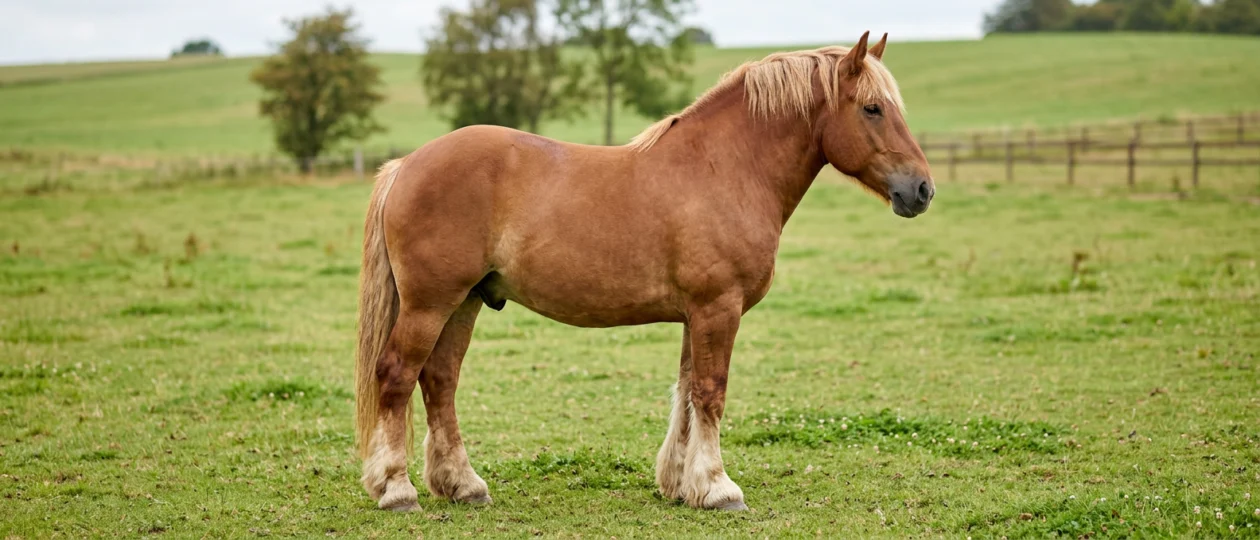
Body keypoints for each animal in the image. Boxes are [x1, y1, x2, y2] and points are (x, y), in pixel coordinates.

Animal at [354, 31, 934, 512]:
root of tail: (406, 165)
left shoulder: (696, 315)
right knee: (397, 375)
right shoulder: (718, 309)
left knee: (440, 380)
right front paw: (719, 488)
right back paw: (397, 490)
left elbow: (687, 394)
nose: (921, 189)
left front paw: (681, 484)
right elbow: (711, 392)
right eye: (873, 108)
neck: (724, 169)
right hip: (431, 303)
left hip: (466, 301)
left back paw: (463, 485)